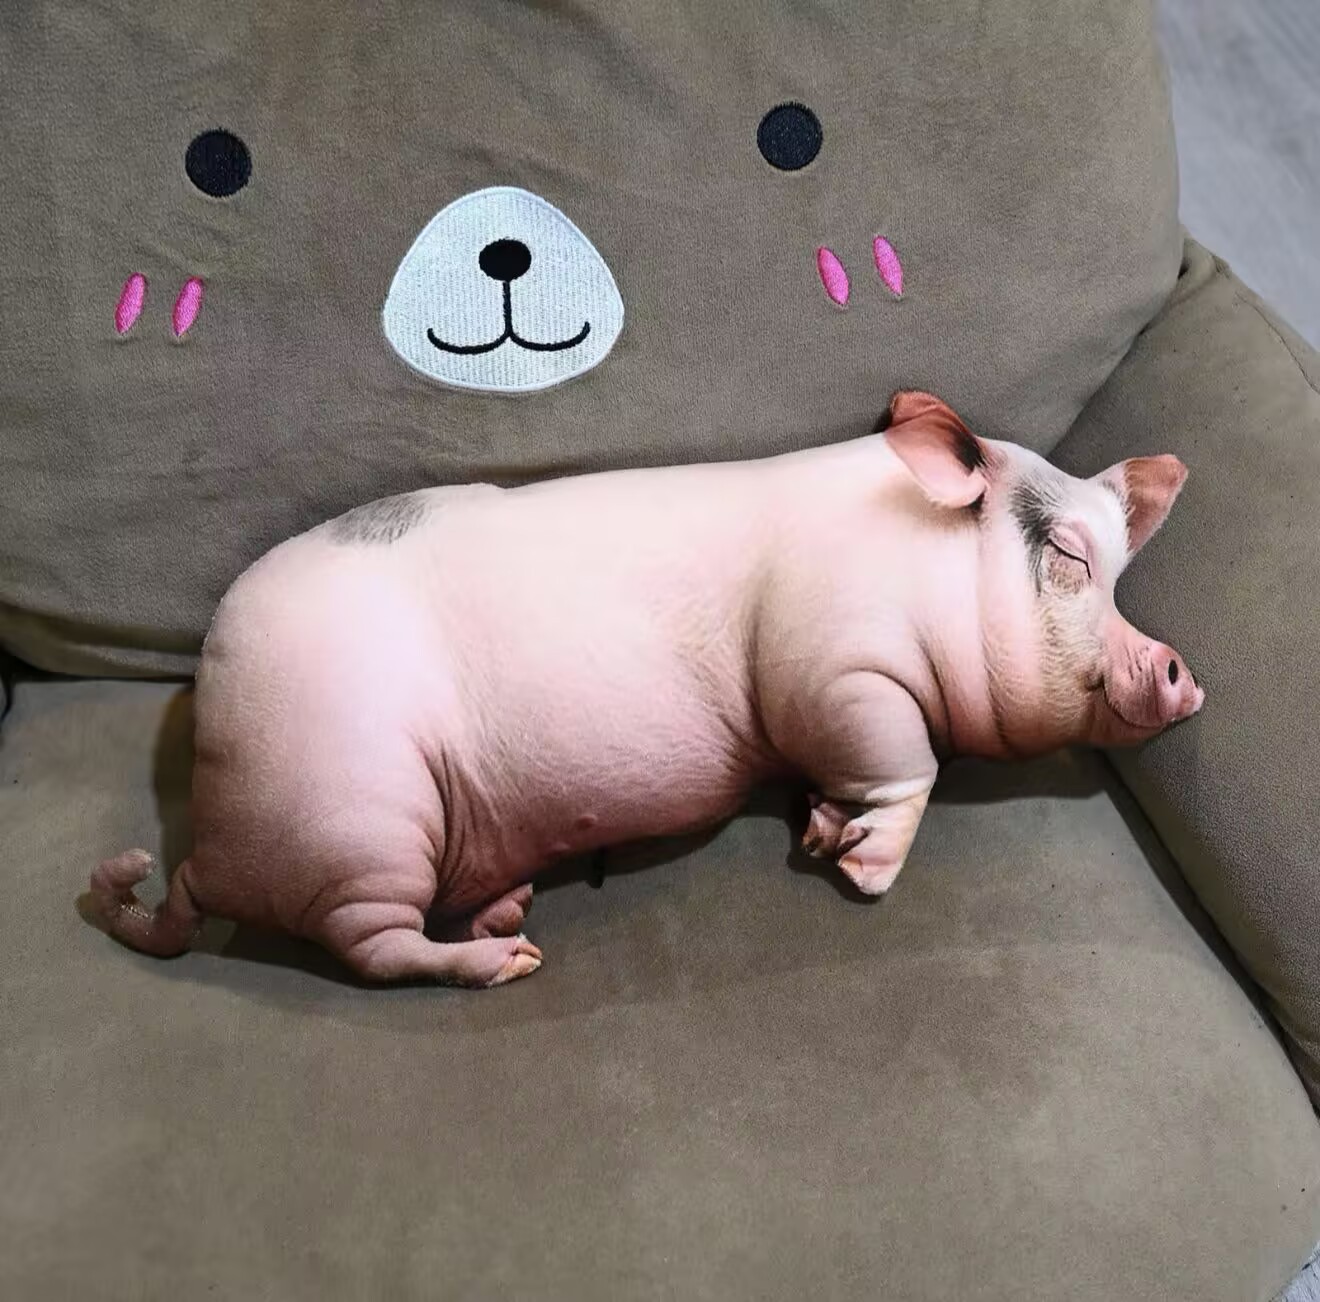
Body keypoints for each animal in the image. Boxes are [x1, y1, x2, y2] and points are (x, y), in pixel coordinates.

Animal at [89, 391, 1204, 988]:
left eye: (1119, 572)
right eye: (1067, 556)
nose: (1181, 669)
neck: (922, 570)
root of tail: (209, 846)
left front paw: (818, 834)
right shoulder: (834, 665)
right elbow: (906, 761)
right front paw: (862, 871)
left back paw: (505, 910)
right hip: (357, 817)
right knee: (376, 949)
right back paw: (512, 961)